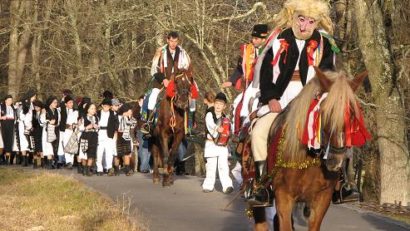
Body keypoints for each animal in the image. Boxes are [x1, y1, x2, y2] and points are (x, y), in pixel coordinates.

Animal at [250, 67, 368, 231]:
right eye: (323, 111)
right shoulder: (283, 196)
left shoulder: (322, 199)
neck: (308, 157)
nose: (335, 160)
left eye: (352, 114)